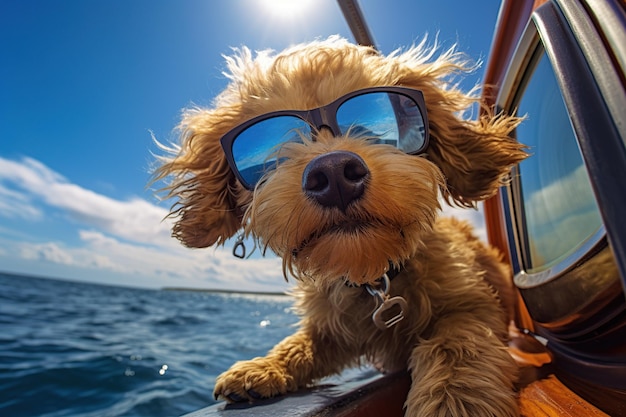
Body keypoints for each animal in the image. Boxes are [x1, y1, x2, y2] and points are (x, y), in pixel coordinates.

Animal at [154, 35, 524, 416]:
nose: (333, 175)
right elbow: (302, 343)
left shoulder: (471, 304)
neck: (374, 277)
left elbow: (457, 345)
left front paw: (453, 401)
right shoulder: (331, 327)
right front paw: (264, 367)